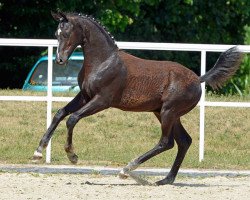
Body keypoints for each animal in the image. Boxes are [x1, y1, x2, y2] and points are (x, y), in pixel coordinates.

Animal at [32, 10, 242, 185]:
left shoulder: (102, 100)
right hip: (163, 113)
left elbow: (73, 118)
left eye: (66, 33)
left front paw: (72, 155)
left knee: (166, 142)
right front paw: (38, 151)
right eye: (56, 34)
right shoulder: (84, 96)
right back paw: (165, 180)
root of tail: (198, 79)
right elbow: (60, 113)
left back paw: (127, 170)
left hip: (169, 111)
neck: (103, 61)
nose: (60, 60)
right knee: (184, 141)